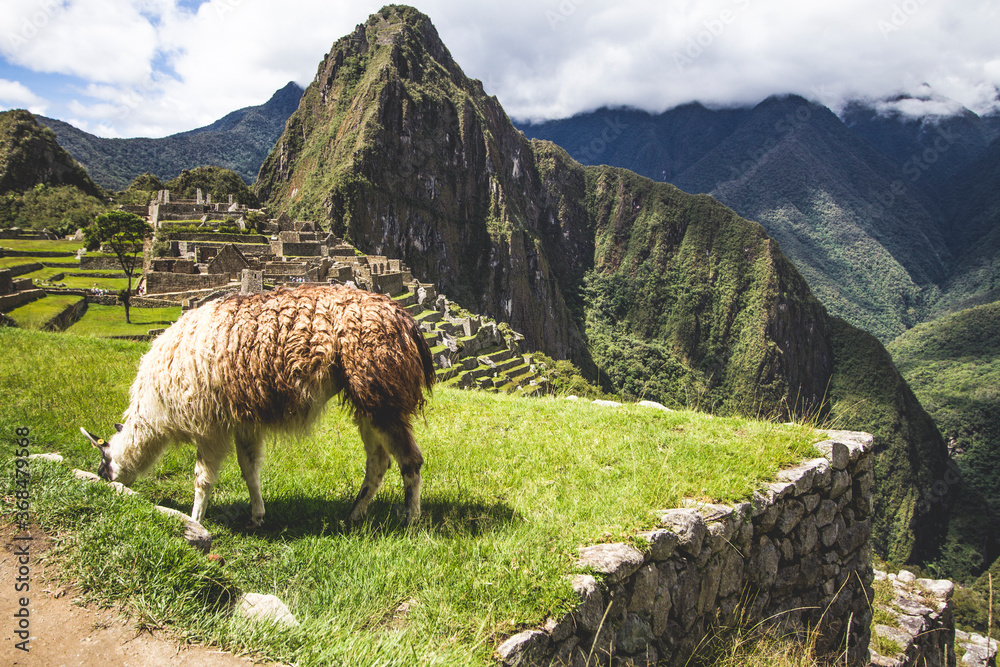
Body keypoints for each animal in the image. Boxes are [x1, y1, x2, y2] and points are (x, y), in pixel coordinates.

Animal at [80, 284, 435, 527]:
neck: (158, 404)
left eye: (102, 464)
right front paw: (258, 515)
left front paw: (195, 520)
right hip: (368, 397)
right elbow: (249, 469)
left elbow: (202, 478)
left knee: (410, 460)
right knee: (378, 462)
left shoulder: (209, 424)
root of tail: (406, 321)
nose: (104, 484)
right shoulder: (243, 420)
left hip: (379, 388)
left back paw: (411, 519)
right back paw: (354, 515)